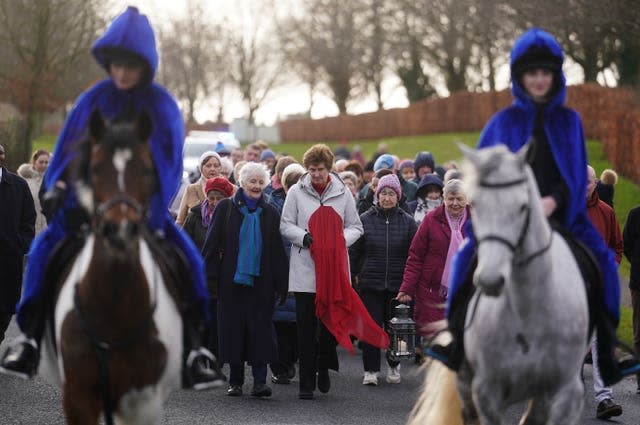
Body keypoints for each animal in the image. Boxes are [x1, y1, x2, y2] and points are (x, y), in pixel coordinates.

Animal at [40, 110, 182, 424]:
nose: (120, 229)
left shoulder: (142, 399)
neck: (114, 301)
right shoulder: (78, 393)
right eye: (94, 169)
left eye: (146, 170)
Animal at [410, 144, 592, 422]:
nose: (490, 278)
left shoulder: (566, 392)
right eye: (476, 205)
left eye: (522, 207)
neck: (527, 311)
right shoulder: (487, 391)